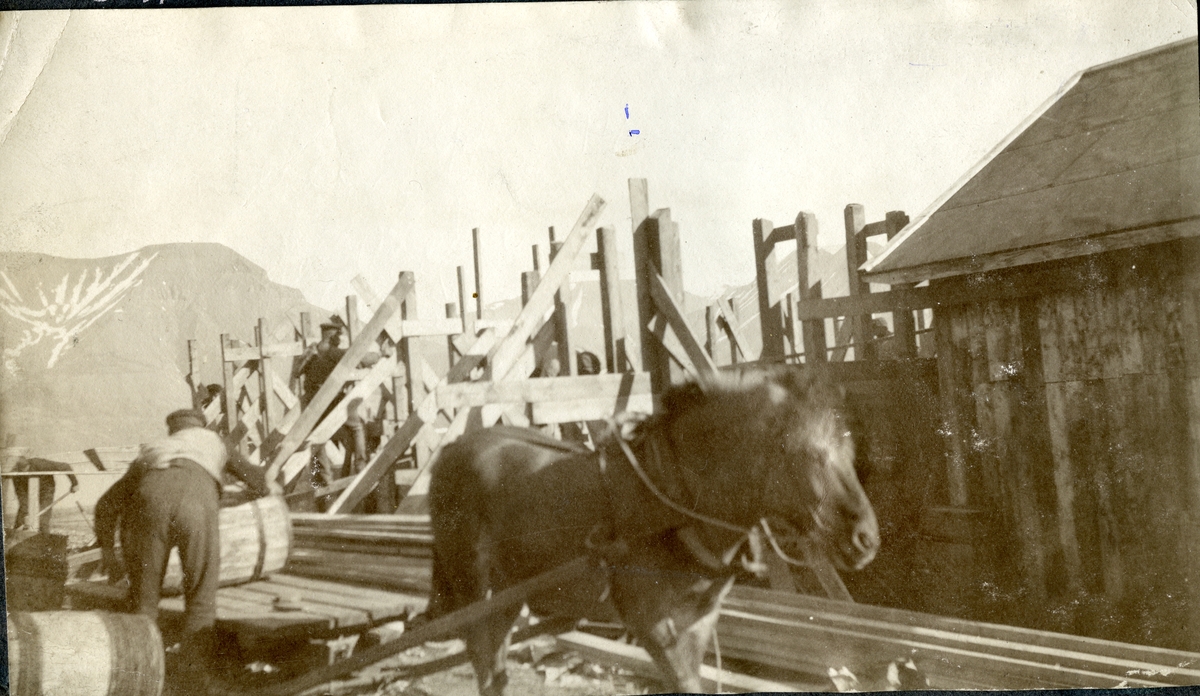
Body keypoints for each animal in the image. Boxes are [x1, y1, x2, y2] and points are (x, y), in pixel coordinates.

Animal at [427, 367, 878, 691]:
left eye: (849, 449)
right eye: (802, 453)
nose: (867, 538)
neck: (674, 501)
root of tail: (447, 454)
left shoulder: (698, 623)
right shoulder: (655, 627)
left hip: (505, 595)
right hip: (474, 591)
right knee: (485, 664)